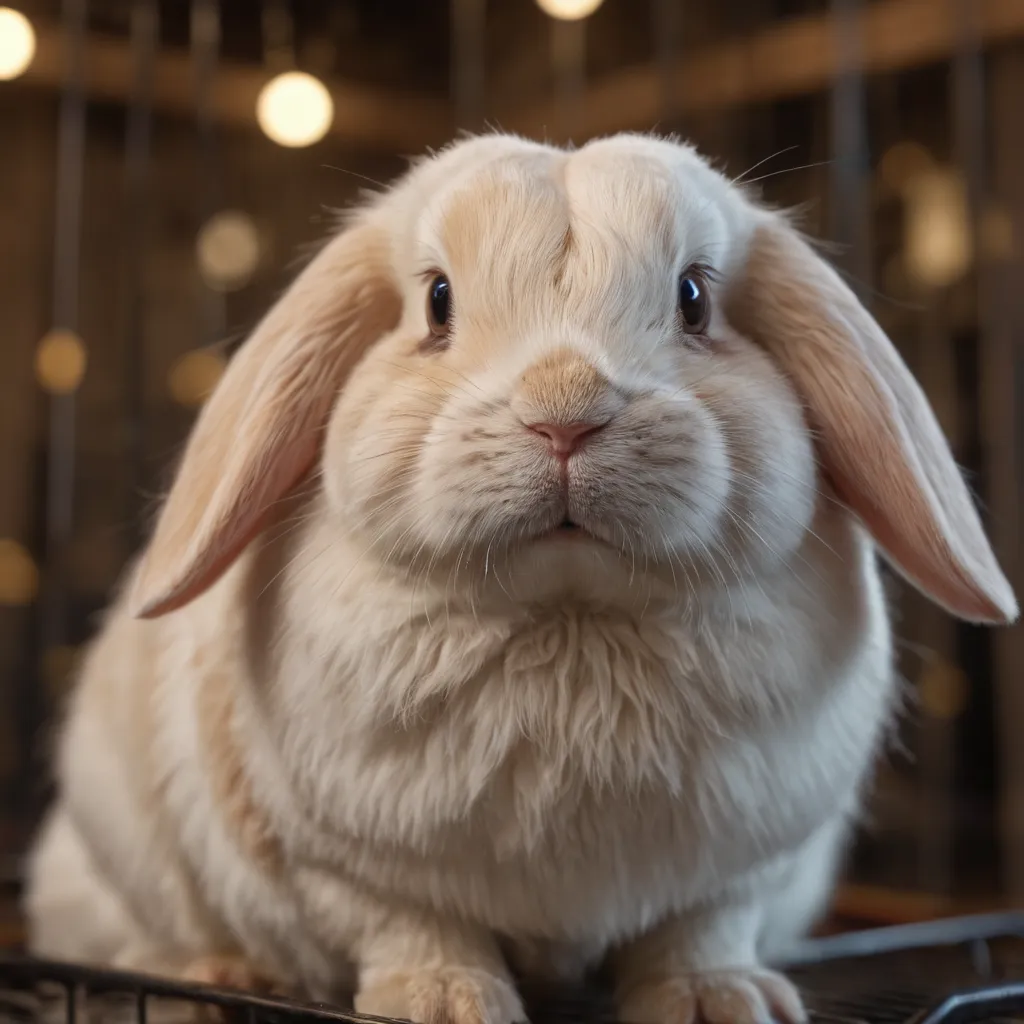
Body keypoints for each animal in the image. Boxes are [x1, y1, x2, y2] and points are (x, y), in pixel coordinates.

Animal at [24, 132, 1017, 1024]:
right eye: (437, 300)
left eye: (695, 298)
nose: (565, 412)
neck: (568, 623)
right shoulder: (342, 866)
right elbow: (411, 927)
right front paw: (444, 1002)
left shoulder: (743, 869)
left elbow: (697, 932)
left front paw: (717, 1003)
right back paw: (218, 977)